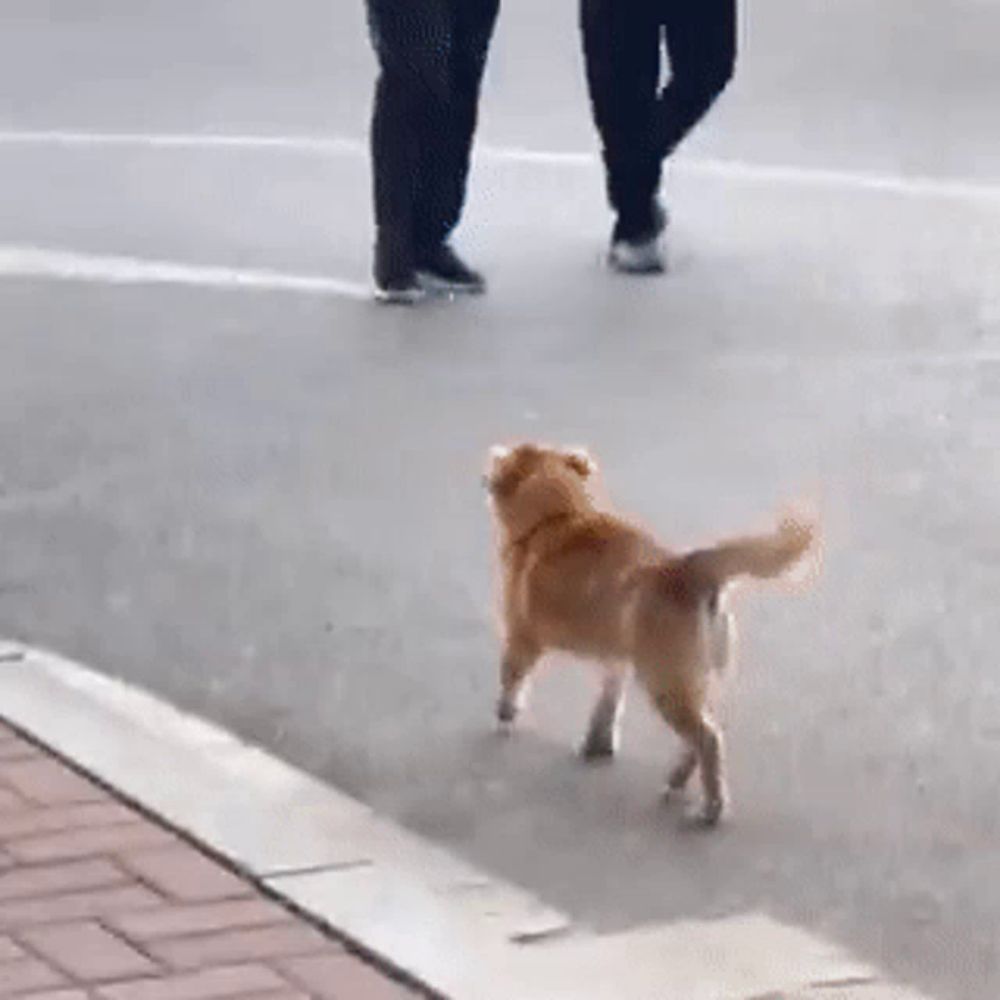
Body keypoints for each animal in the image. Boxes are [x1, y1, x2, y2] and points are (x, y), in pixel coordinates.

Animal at [486, 442, 820, 824]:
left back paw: (711, 807)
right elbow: (606, 707)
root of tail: (686, 570)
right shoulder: (616, 661)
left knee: (707, 739)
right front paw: (597, 745)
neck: (560, 517)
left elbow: (511, 681)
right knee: (698, 737)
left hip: (666, 682)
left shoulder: (520, 636)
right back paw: (677, 781)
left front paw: (505, 717)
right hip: (693, 681)